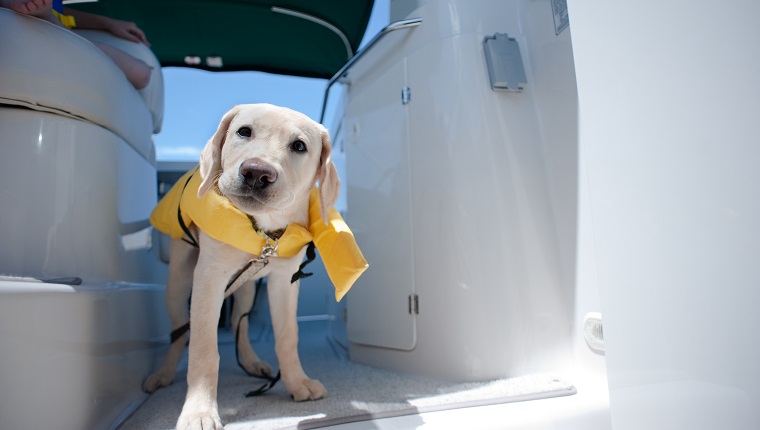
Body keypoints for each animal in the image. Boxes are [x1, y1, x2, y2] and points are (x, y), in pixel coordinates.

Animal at [145, 105, 338, 430]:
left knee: (239, 320)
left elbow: (288, 337)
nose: (257, 172)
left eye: (299, 146)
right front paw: (199, 411)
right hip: (177, 283)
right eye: (244, 131)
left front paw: (297, 383)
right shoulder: (208, 278)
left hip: (247, 288)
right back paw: (163, 373)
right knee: (179, 331)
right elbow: (204, 350)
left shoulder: (285, 281)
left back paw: (251, 362)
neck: (264, 231)